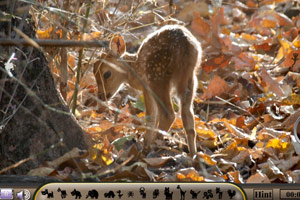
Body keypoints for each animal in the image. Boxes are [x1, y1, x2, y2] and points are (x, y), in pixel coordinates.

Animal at [94, 25, 202, 155]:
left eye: (107, 74)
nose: (101, 96)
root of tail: (185, 45)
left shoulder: (146, 86)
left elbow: (151, 116)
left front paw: (145, 141)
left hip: (156, 75)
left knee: (168, 114)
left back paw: (151, 146)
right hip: (190, 79)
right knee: (188, 117)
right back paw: (193, 154)